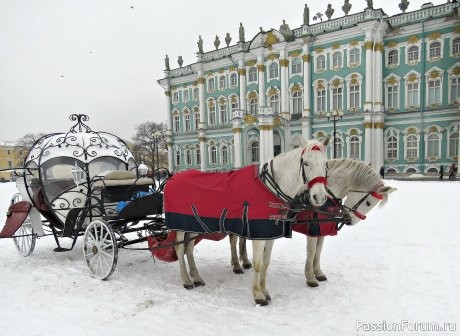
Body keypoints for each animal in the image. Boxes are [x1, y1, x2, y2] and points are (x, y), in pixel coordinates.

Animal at [170, 138, 330, 306]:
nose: (319, 197)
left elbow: (266, 262)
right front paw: (258, 294)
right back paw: (187, 280)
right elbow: (258, 263)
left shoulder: (269, 234)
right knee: (180, 249)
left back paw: (196, 277)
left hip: (193, 224)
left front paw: (264, 290)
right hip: (180, 226)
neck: (269, 188)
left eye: (325, 164)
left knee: (189, 248)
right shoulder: (258, 235)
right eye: (306, 163)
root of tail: (172, 178)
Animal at [228, 158, 398, 288]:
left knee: (242, 238)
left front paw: (318, 273)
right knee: (234, 239)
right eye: (369, 202)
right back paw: (236, 265)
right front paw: (310, 277)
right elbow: (311, 251)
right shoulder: (312, 229)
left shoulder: (322, 230)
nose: (350, 221)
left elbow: (319, 251)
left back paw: (245, 261)